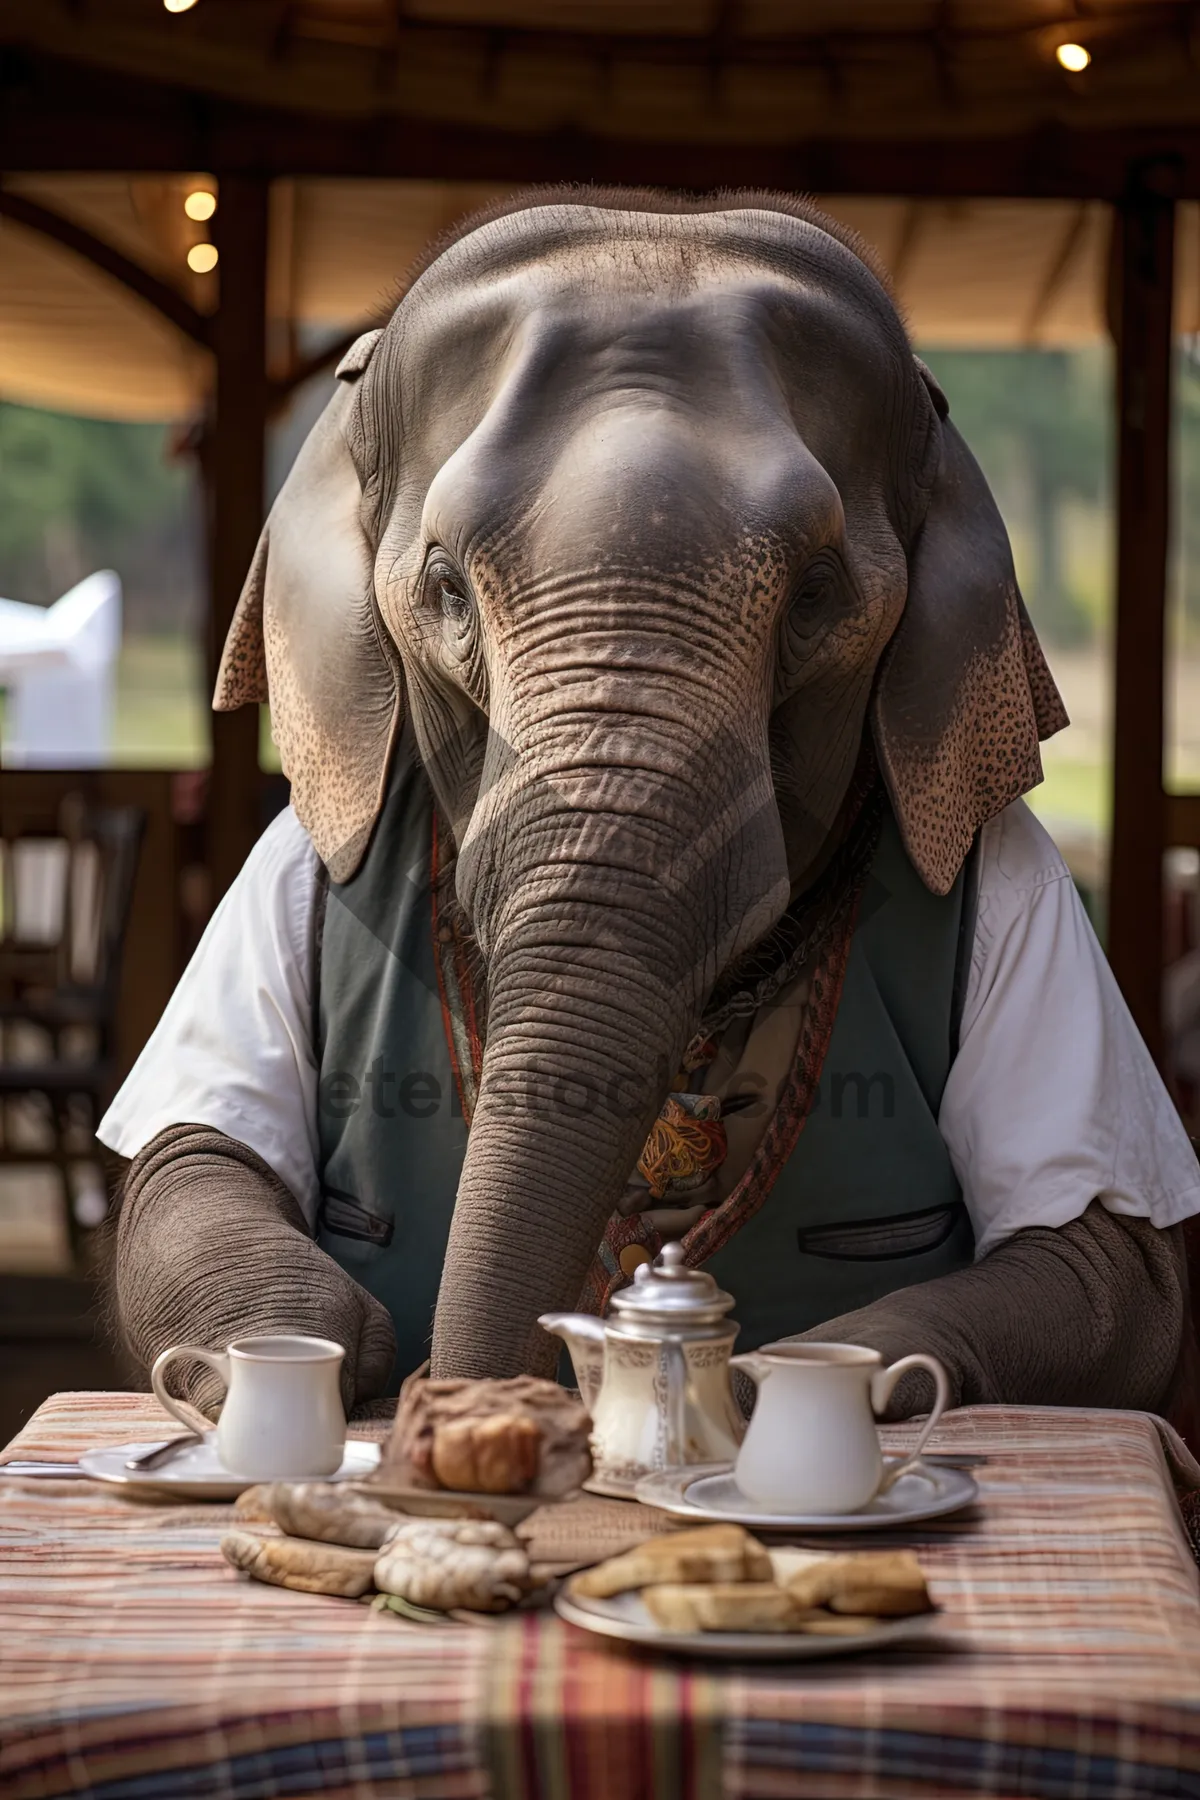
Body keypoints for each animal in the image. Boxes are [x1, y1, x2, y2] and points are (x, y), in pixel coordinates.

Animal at [107, 189, 1194, 1425]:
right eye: (444, 587)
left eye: (817, 596)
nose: (451, 1386)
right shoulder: (277, 865)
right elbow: (192, 1163)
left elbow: (1110, 1260)